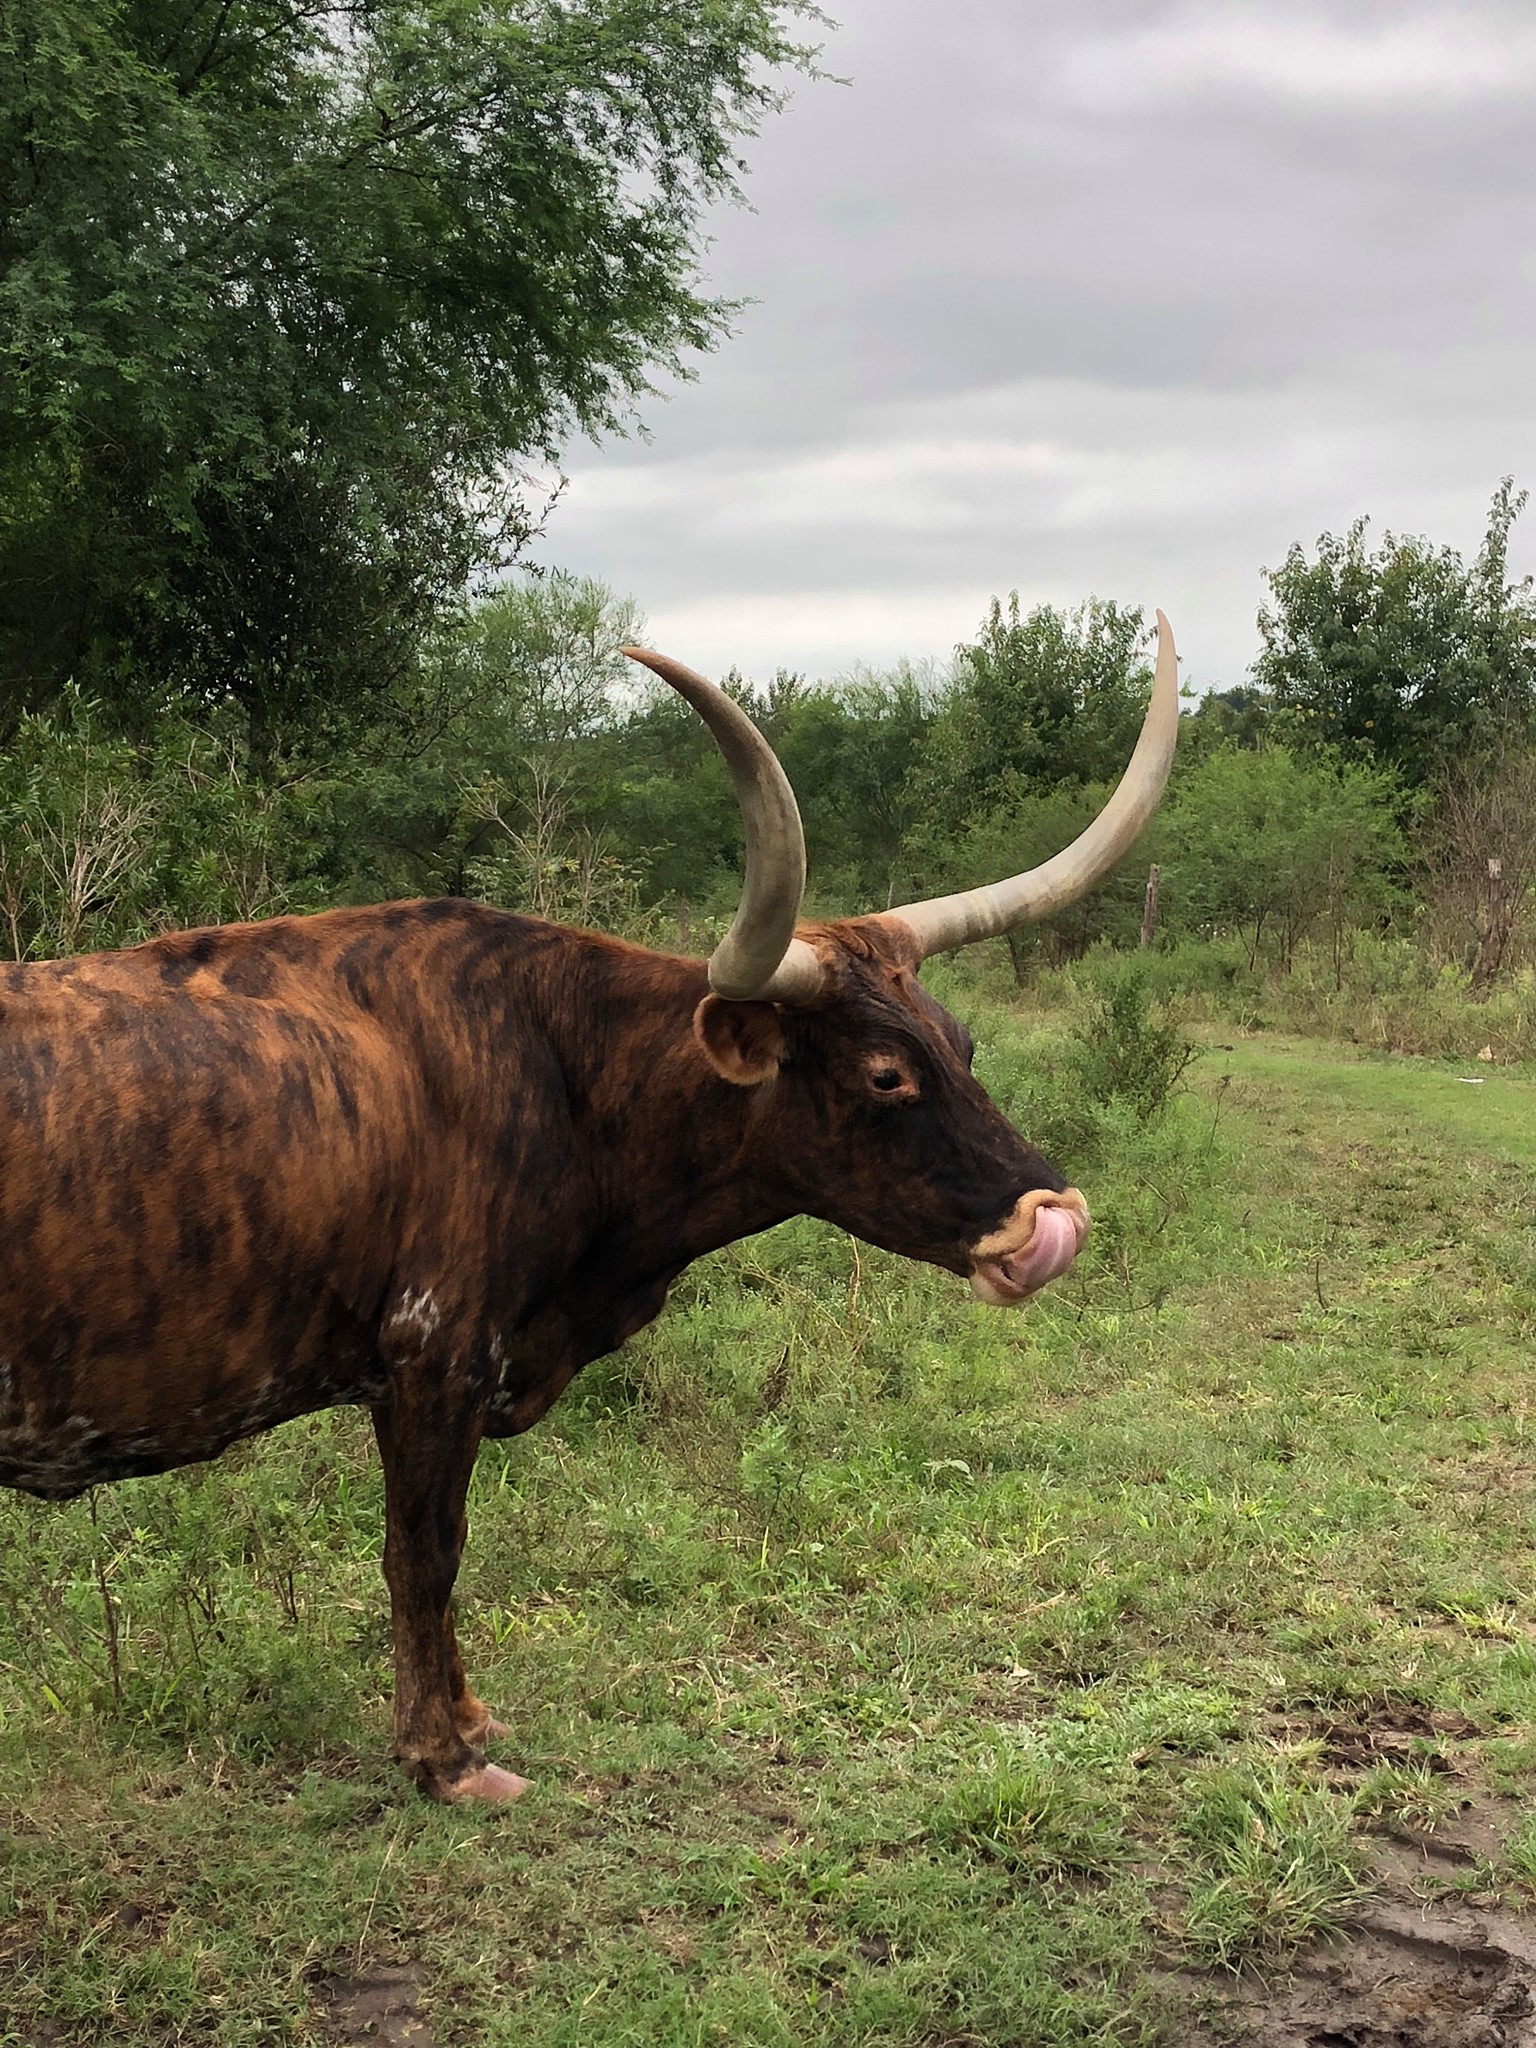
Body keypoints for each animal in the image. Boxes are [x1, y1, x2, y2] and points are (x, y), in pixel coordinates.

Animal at [0, 618, 1187, 1794]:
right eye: (886, 1074)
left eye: (965, 1042)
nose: (1053, 1220)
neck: (562, 1065)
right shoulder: (434, 1352)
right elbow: (424, 1549)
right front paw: (443, 1755)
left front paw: (465, 1718)